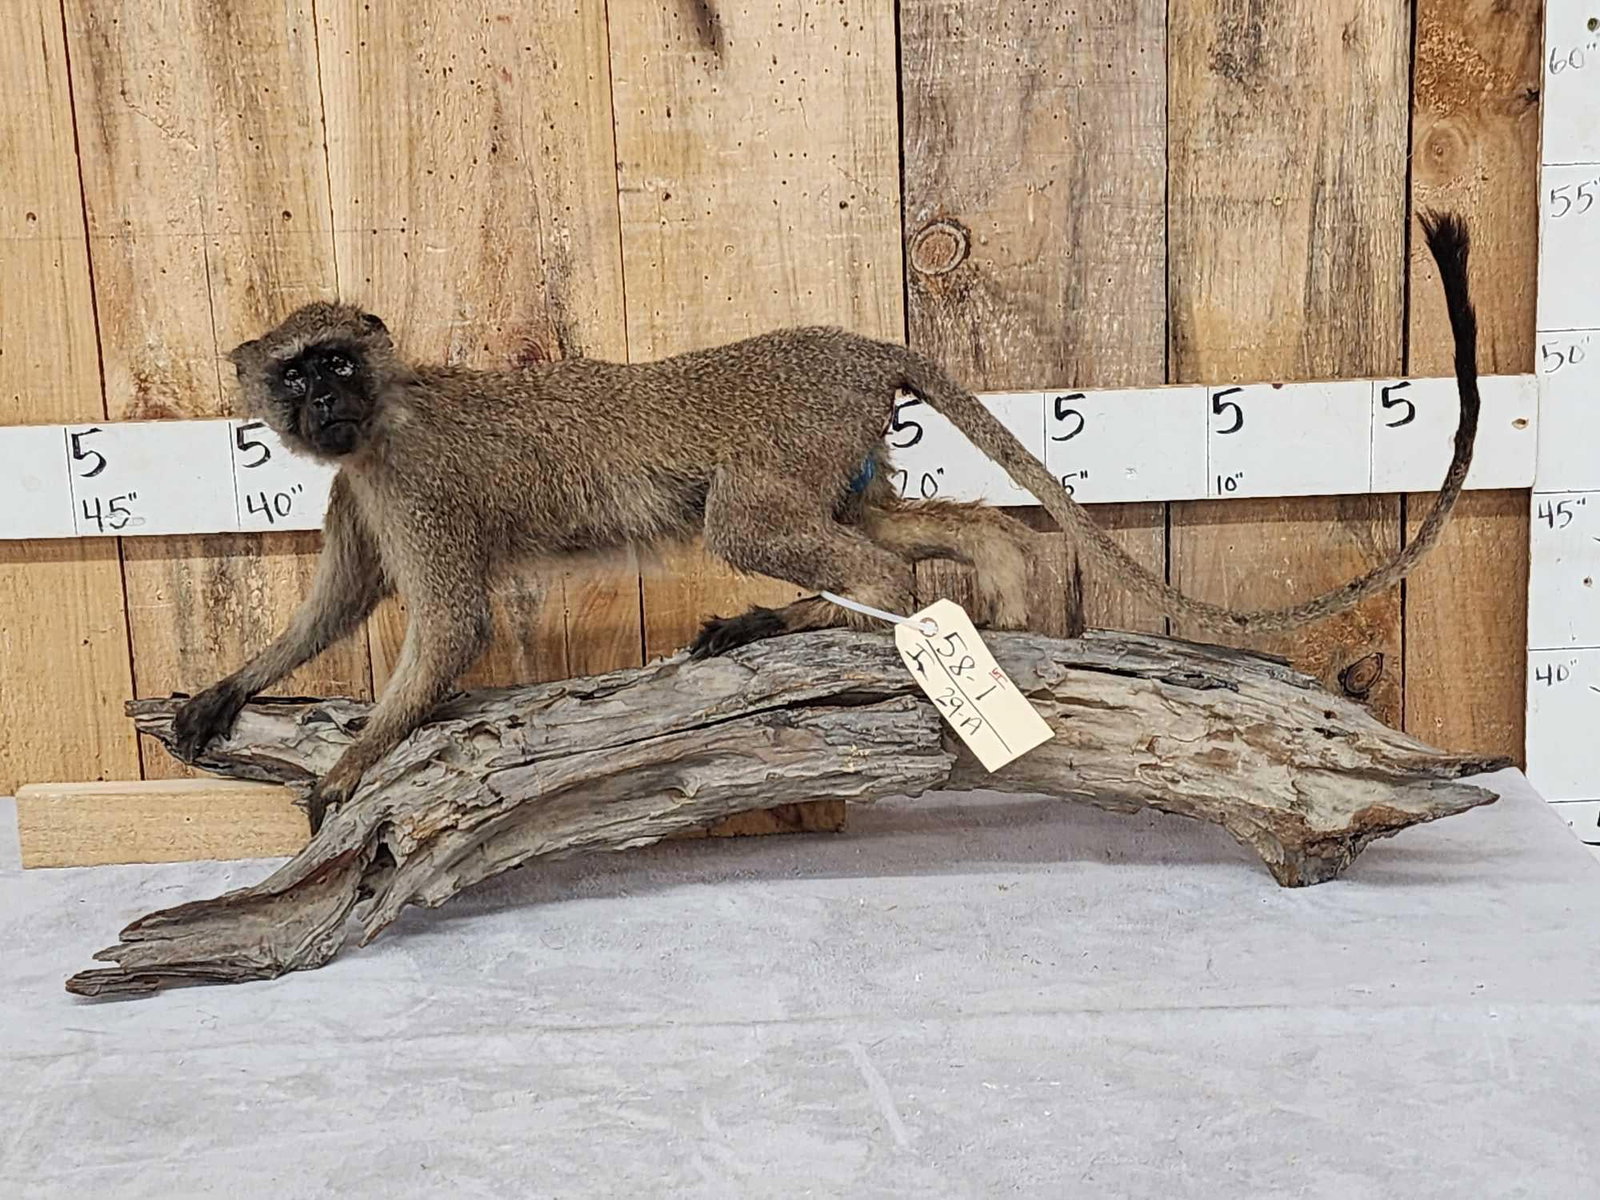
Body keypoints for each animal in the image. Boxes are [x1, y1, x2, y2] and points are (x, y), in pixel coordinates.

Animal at [173, 210, 1478, 832]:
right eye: (296, 373)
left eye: (340, 361)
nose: (323, 403)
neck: (382, 420)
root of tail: (855, 345)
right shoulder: (357, 487)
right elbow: (341, 601)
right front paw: (232, 689)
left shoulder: (412, 481)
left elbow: (448, 632)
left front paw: (351, 767)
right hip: (837, 451)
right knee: (923, 530)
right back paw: (977, 595)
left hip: (786, 447)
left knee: (762, 531)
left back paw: (855, 623)